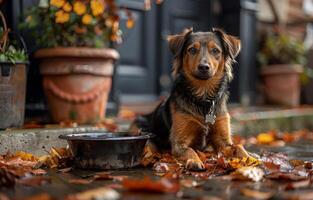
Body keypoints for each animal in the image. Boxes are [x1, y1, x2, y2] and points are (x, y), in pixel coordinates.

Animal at [130, 27, 250, 170]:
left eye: (215, 50)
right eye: (192, 50)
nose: (203, 67)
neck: (203, 99)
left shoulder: (224, 141)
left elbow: (239, 147)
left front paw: (251, 158)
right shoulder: (179, 142)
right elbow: (189, 150)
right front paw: (194, 161)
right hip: (138, 126)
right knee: (149, 143)